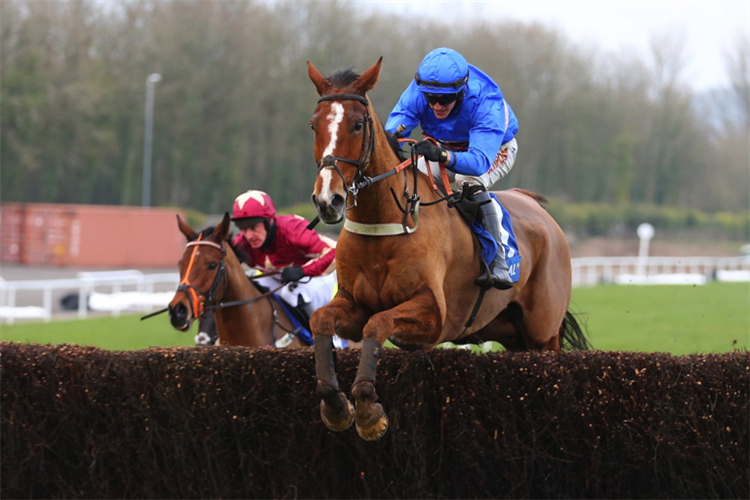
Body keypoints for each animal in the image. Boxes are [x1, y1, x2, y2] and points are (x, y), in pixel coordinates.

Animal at [308, 59, 592, 442]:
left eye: (356, 123)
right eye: (314, 124)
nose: (329, 200)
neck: (383, 225)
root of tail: (539, 209)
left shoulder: (433, 315)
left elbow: (377, 324)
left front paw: (368, 410)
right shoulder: (353, 303)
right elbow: (321, 319)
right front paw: (336, 406)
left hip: (543, 334)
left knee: (475, 186)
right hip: (509, 331)